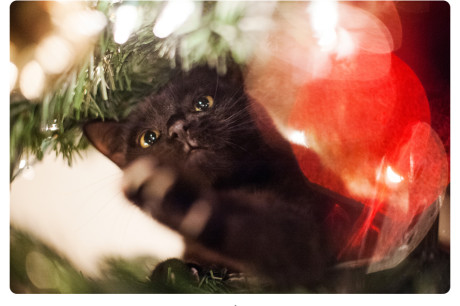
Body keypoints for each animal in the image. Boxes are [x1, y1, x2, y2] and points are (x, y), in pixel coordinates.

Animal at [84, 64, 362, 290]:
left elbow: (259, 228)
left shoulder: (306, 230)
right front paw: (179, 271)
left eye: (202, 103)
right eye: (148, 138)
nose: (177, 128)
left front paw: (170, 194)